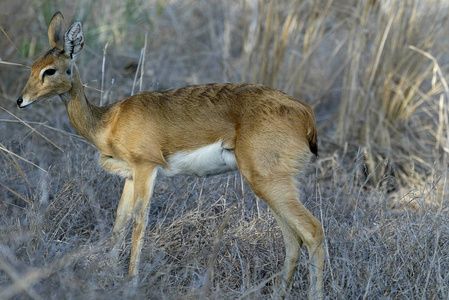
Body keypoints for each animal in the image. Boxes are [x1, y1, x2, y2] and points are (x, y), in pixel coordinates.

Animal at [16, 11, 322, 298]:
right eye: (33, 66)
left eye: (50, 70)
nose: (21, 101)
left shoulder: (146, 168)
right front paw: (108, 274)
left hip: (268, 182)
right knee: (293, 239)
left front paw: (131, 282)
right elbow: (120, 222)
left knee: (313, 231)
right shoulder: (130, 176)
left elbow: (139, 223)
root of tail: (305, 113)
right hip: (270, 186)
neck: (109, 121)